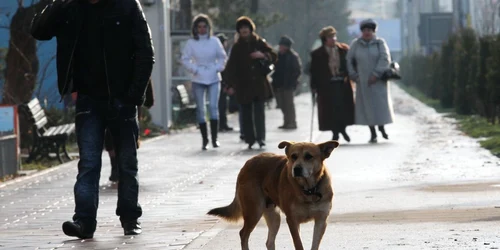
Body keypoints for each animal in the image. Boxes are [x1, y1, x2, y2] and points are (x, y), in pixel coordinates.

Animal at [207, 140, 340, 249]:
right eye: (293, 156)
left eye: (309, 156)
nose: (296, 169)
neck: (308, 190)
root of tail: (248, 162)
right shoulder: (292, 220)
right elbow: (298, 244)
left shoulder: (321, 220)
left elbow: (314, 245)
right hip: (254, 211)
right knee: (243, 234)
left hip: (274, 217)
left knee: (269, 242)